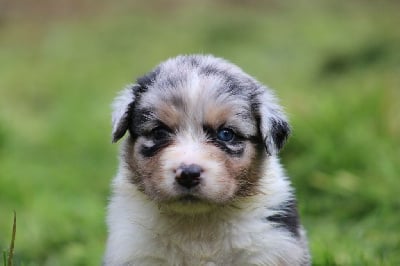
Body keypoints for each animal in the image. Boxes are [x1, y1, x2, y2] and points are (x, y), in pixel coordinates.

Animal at [104, 55, 310, 264]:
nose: (188, 174)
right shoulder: (136, 251)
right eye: (159, 132)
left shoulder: (269, 249)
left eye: (226, 134)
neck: (197, 222)